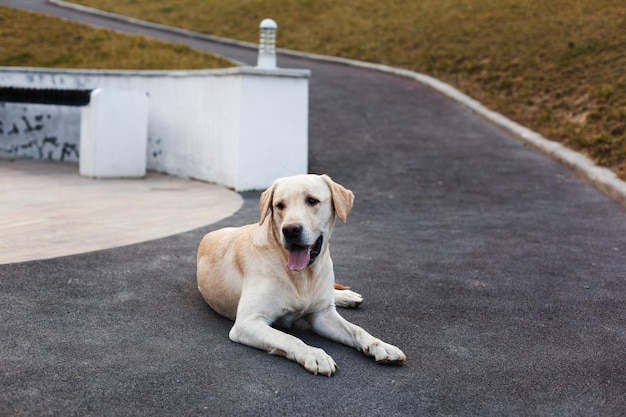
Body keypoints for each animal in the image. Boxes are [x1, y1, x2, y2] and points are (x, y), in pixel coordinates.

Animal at [197, 174, 408, 376]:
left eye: (312, 200)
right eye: (279, 205)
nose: (290, 230)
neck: (304, 276)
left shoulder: (322, 316)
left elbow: (357, 330)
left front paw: (381, 346)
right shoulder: (247, 322)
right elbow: (289, 338)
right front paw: (314, 354)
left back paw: (346, 296)